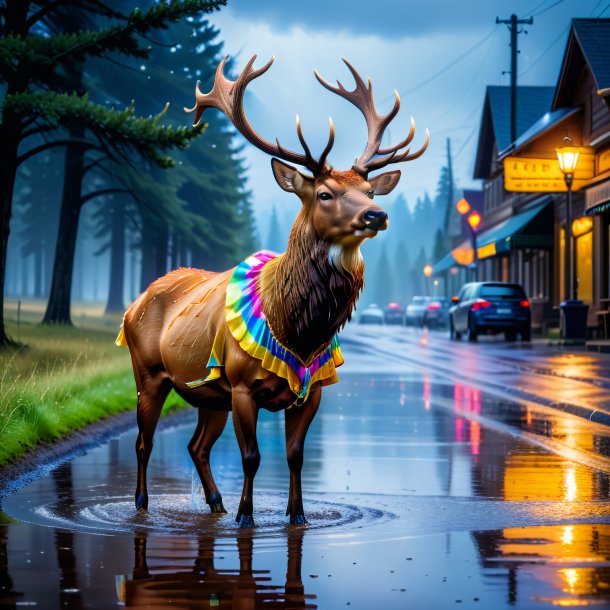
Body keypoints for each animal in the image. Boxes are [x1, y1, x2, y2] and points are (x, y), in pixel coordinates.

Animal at [116, 54, 426, 524]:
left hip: (209, 393)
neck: (301, 328)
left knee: (196, 445)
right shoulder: (243, 386)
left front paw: (296, 515)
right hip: (148, 371)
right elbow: (252, 457)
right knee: (143, 442)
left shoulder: (312, 391)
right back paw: (142, 504)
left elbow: (295, 455)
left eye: (370, 188)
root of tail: (136, 301)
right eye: (324, 193)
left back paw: (216, 502)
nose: (377, 214)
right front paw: (247, 516)